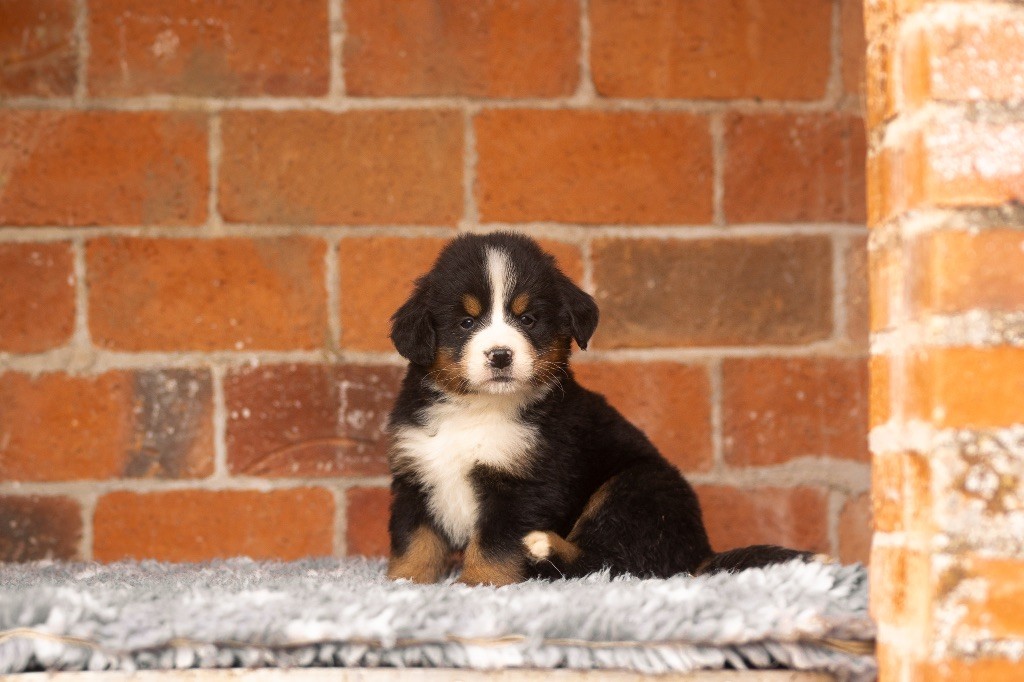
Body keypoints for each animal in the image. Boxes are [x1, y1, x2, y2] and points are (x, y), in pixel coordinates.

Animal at [385, 231, 815, 581]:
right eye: (466, 323)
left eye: (528, 319)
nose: (500, 355)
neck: (477, 409)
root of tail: (699, 553)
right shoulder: (415, 474)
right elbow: (414, 540)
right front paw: (405, 583)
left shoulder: (526, 483)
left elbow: (495, 546)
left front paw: (481, 584)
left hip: (634, 486)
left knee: (611, 562)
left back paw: (543, 547)